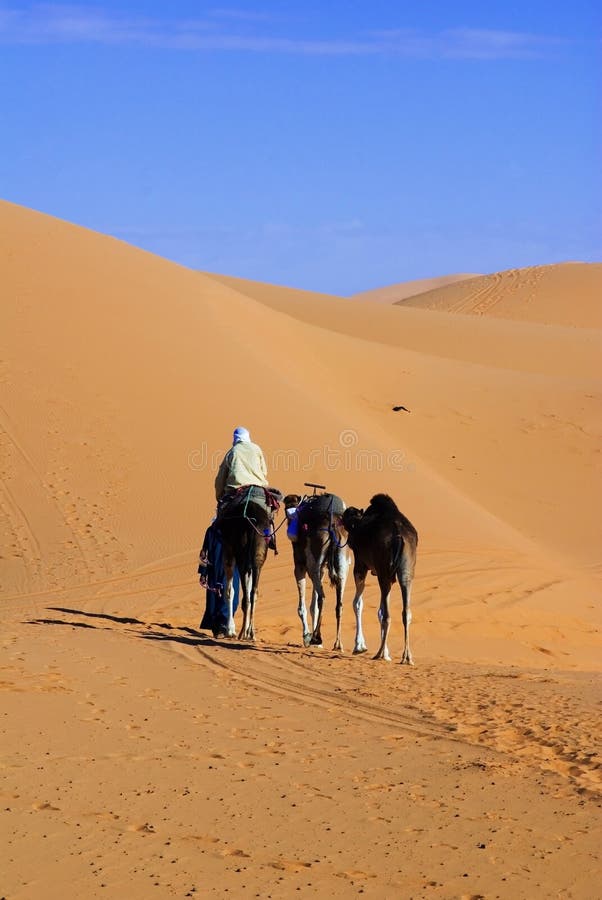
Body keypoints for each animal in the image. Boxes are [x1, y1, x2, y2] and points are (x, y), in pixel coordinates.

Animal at [217, 486, 280, 640]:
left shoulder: (227, 552)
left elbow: (229, 591)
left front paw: (230, 630)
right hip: (258, 551)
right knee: (253, 592)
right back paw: (251, 633)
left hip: (240, 555)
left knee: (245, 595)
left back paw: (241, 633)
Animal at [284, 488, 350, 652]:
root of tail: (333, 528)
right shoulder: (322, 569)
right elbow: (313, 606)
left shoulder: (300, 565)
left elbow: (302, 606)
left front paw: (307, 637)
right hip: (343, 562)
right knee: (339, 604)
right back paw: (337, 644)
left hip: (314, 561)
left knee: (323, 597)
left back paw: (316, 637)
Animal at [340, 496, 414, 664]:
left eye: (347, 517)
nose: (339, 520)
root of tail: (398, 536)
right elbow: (379, 609)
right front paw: (387, 653)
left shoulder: (361, 564)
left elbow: (357, 603)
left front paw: (359, 647)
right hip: (406, 572)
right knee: (405, 612)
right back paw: (407, 657)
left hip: (383, 571)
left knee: (386, 614)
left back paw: (379, 654)